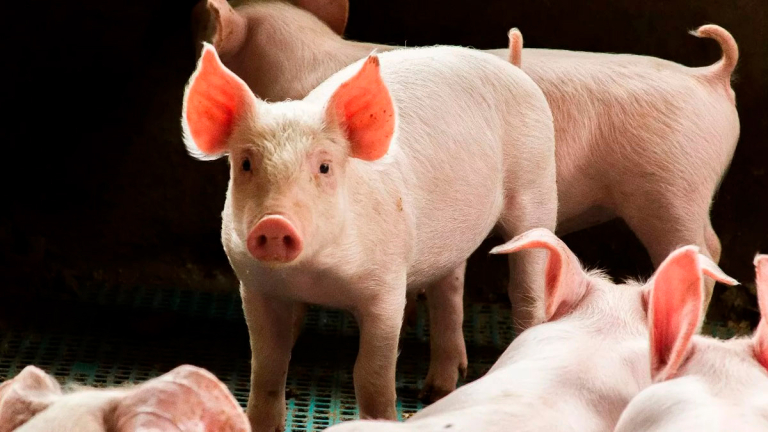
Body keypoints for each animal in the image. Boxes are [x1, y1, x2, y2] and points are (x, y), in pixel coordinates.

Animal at [180, 43, 558, 430]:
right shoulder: (256, 287)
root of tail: (512, 68)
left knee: (526, 289)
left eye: (324, 166)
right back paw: (435, 392)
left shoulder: (387, 286)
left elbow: (371, 375)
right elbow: (268, 367)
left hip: (537, 187)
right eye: (245, 163)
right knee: (449, 291)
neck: (314, 278)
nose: (274, 223)